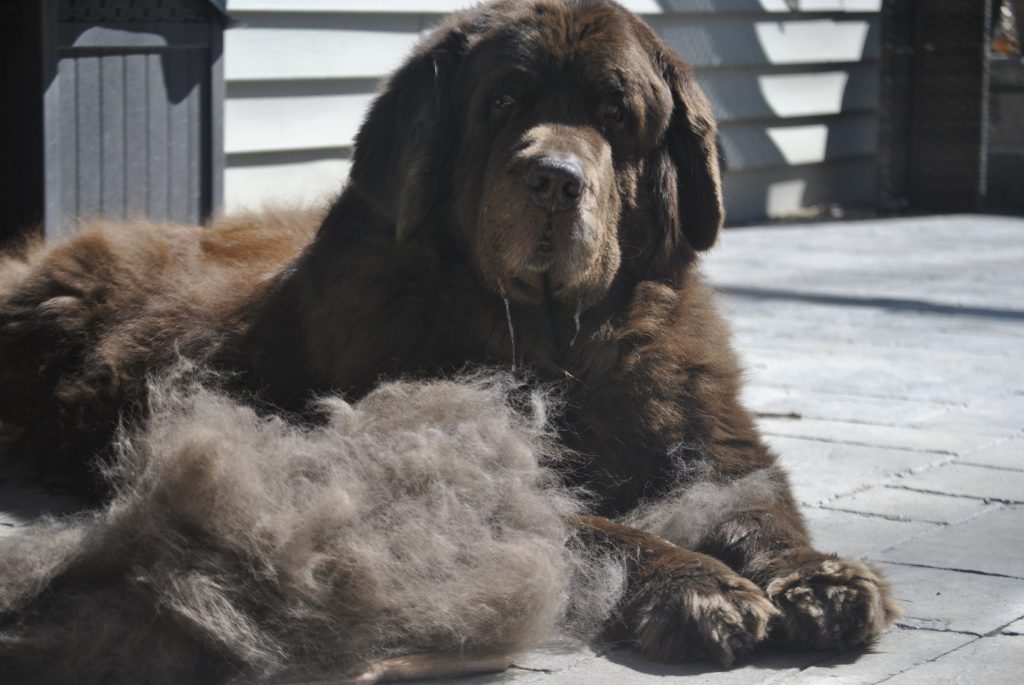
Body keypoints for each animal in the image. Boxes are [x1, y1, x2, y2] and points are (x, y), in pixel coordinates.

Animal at [0, 0, 897, 667]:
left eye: (615, 114)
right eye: (503, 103)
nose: (555, 179)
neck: (555, 344)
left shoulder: (715, 442)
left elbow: (760, 506)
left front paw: (821, 578)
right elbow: (603, 527)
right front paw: (700, 584)